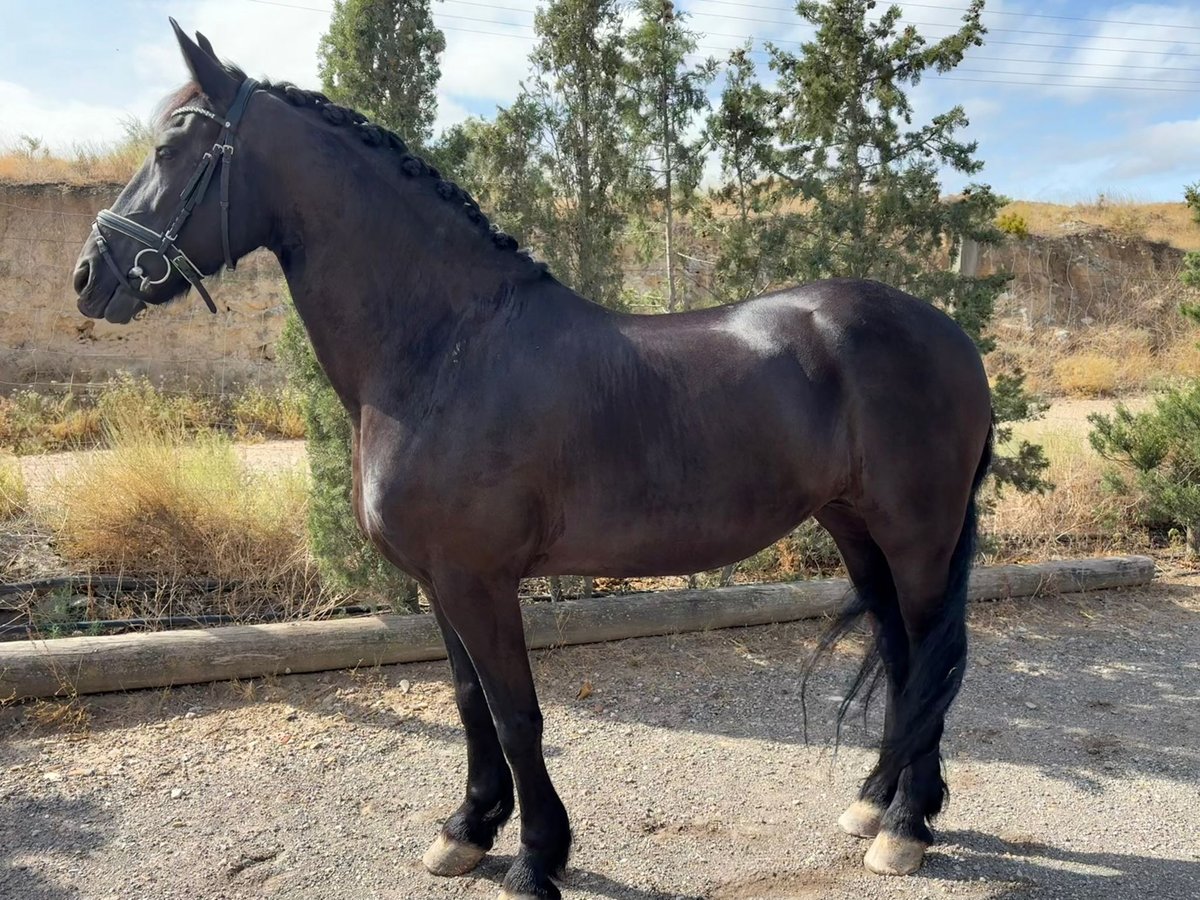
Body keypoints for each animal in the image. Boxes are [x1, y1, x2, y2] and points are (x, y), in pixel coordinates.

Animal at [71, 20, 994, 900]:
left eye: (171, 148)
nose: (89, 276)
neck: (443, 348)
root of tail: (951, 336)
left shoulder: (479, 580)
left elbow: (518, 715)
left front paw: (536, 857)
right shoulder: (438, 579)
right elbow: (470, 704)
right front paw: (466, 831)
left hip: (917, 536)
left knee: (931, 656)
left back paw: (905, 827)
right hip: (855, 528)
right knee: (903, 659)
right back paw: (875, 803)